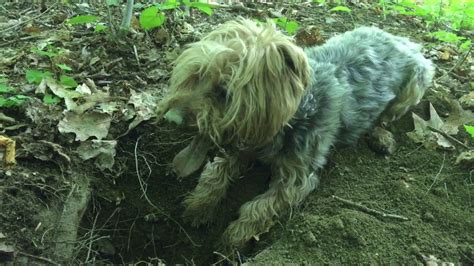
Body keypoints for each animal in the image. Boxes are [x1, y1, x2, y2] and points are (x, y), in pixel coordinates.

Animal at [156, 18, 434, 249]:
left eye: (225, 92)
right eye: (196, 76)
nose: (172, 119)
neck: (287, 120)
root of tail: (404, 40)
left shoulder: (297, 179)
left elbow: (257, 208)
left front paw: (232, 238)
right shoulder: (242, 144)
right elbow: (214, 173)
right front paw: (198, 205)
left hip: (414, 86)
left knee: (391, 115)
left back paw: (381, 136)